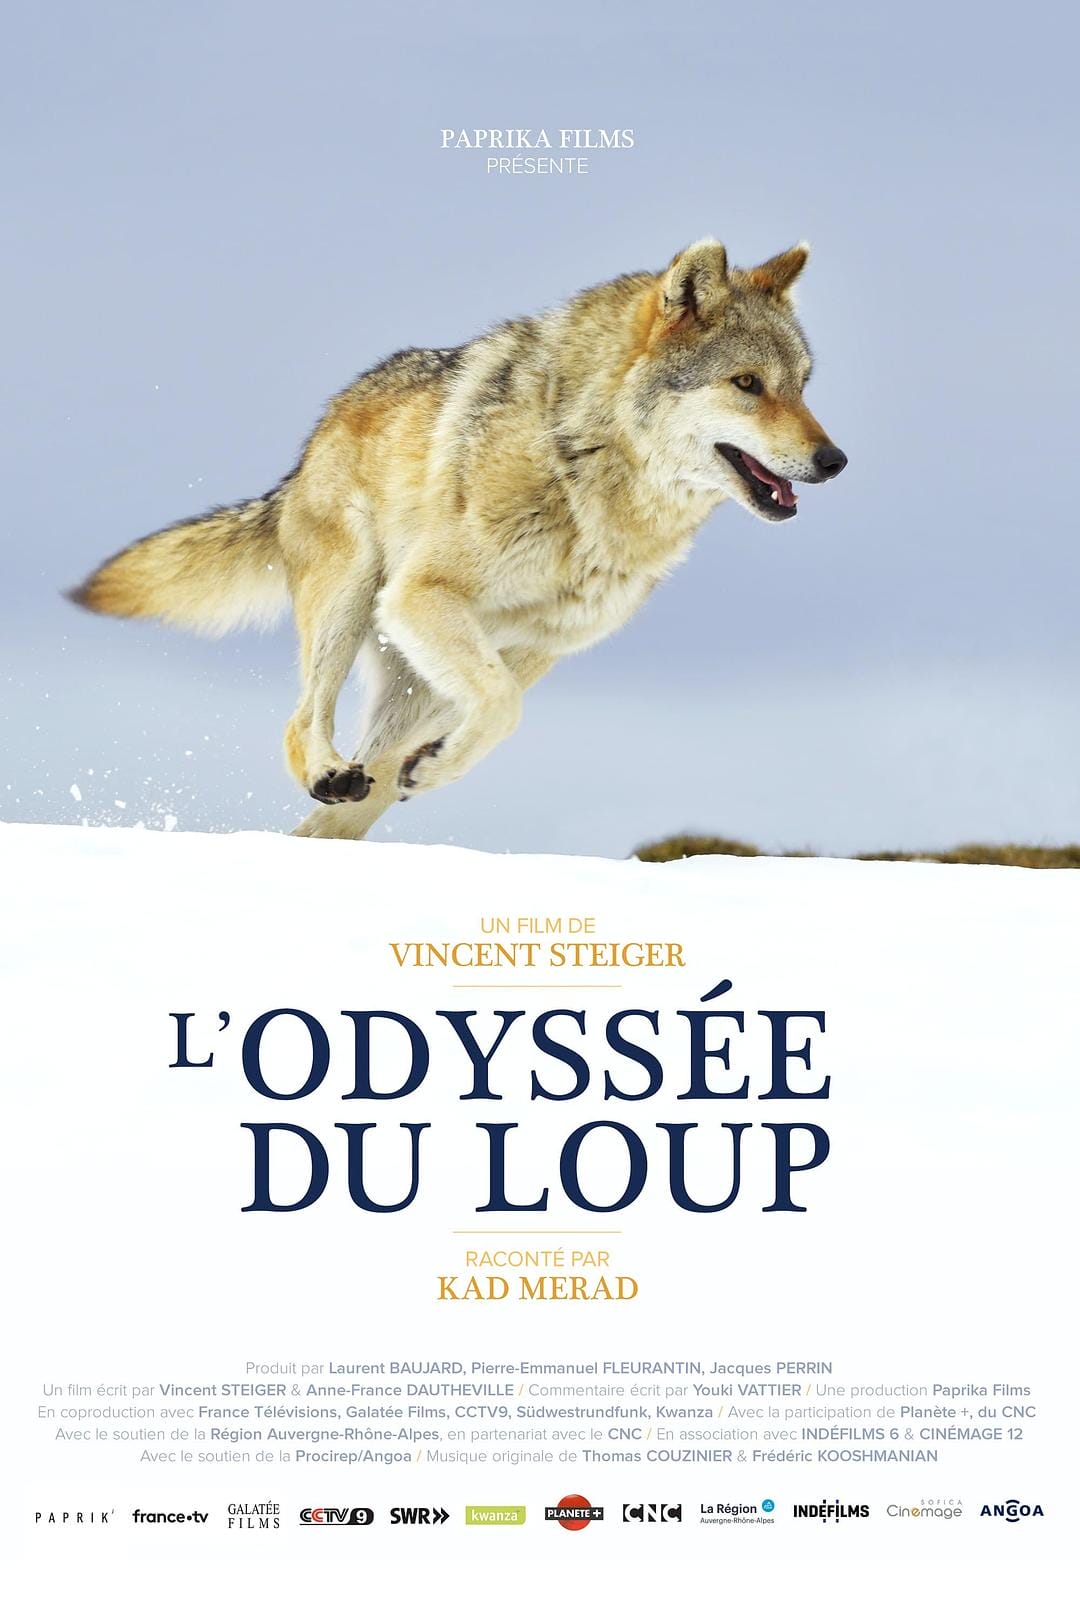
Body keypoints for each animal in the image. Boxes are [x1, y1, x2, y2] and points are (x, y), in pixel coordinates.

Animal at [70, 238, 847, 839]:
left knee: (352, 801)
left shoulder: (535, 650)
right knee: (302, 726)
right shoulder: (424, 595)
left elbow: (498, 714)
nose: (834, 461)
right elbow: (503, 708)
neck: (586, 469)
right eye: (747, 383)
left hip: (413, 677)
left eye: (803, 386)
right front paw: (437, 763)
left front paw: (436, 764)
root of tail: (313, 440)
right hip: (357, 598)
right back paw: (328, 772)